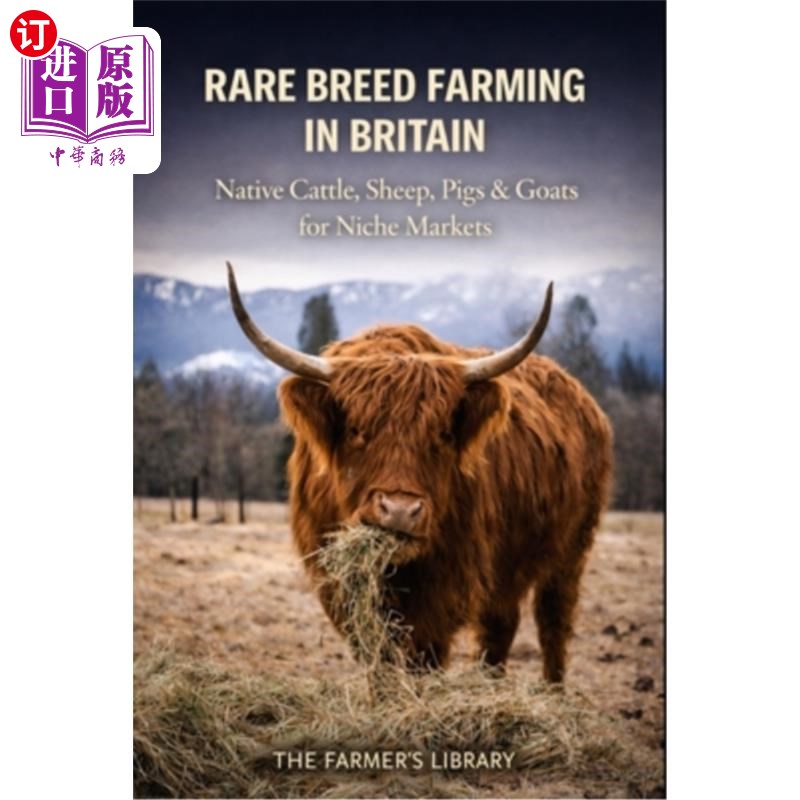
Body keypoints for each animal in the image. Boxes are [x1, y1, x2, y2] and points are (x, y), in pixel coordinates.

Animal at [227, 262, 613, 682]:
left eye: (442, 433)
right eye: (356, 430)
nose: (400, 511)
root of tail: (580, 395)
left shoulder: (444, 588)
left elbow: (422, 659)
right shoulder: (341, 586)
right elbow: (378, 659)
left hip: (571, 550)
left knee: (553, 620)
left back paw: (552, 689)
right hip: (507, 565)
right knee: (501, 624)